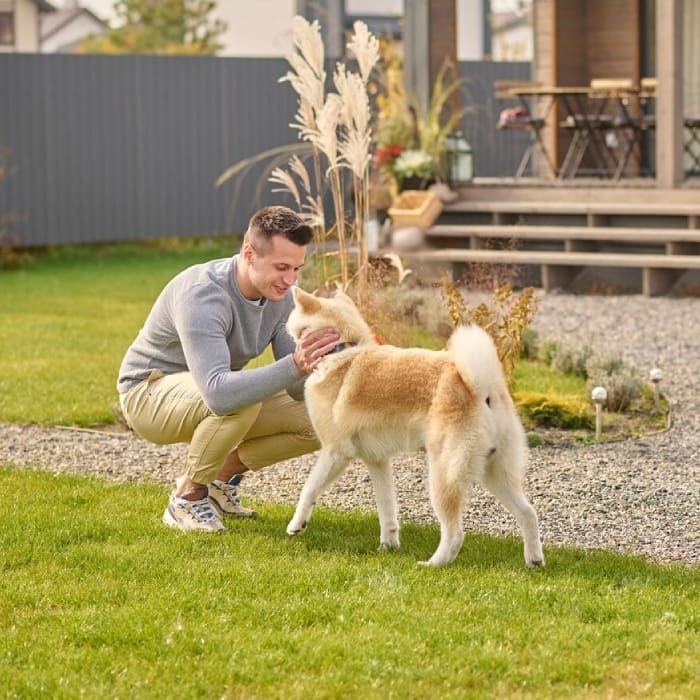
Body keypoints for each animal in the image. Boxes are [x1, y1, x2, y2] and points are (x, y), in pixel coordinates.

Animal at [284, 288, 540, 568]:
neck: (342, 350)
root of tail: (483, 389)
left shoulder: (335, 452)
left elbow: (309, 488)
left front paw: (297, 524)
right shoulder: (377, 461)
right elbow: (387, 508)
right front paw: (388, 546)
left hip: (444, 474)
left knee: (455, 533)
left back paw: (434, 564)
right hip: (496, 473)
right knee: (528, 514)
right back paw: (534, 561)